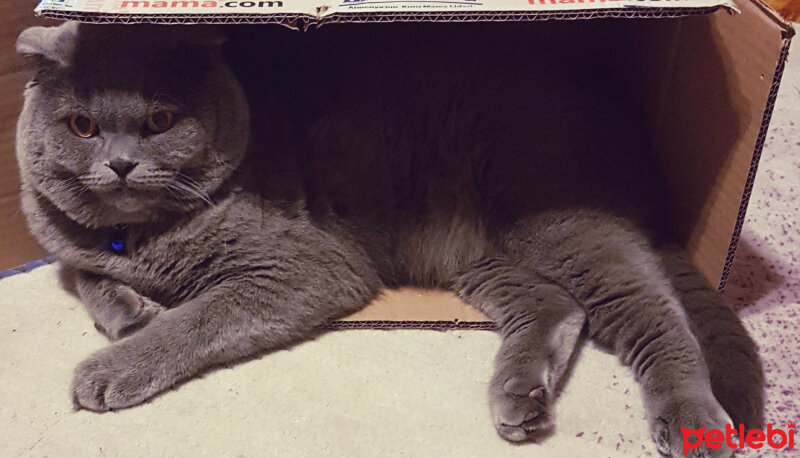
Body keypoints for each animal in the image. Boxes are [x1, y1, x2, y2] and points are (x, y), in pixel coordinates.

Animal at [14, 21, 764, 458]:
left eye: (161, 120)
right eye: (81, 125)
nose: (119, 164)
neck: (143, 233)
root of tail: (622, 112)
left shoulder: (304, 268)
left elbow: (195, 319)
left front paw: (109, 367)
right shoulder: (67, 237)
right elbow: (75, 270)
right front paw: (126, 310)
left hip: (558, 222)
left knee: (652, 308)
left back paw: (691, 421)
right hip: (475, 253)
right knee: (560, 307)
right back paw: (520, 399)